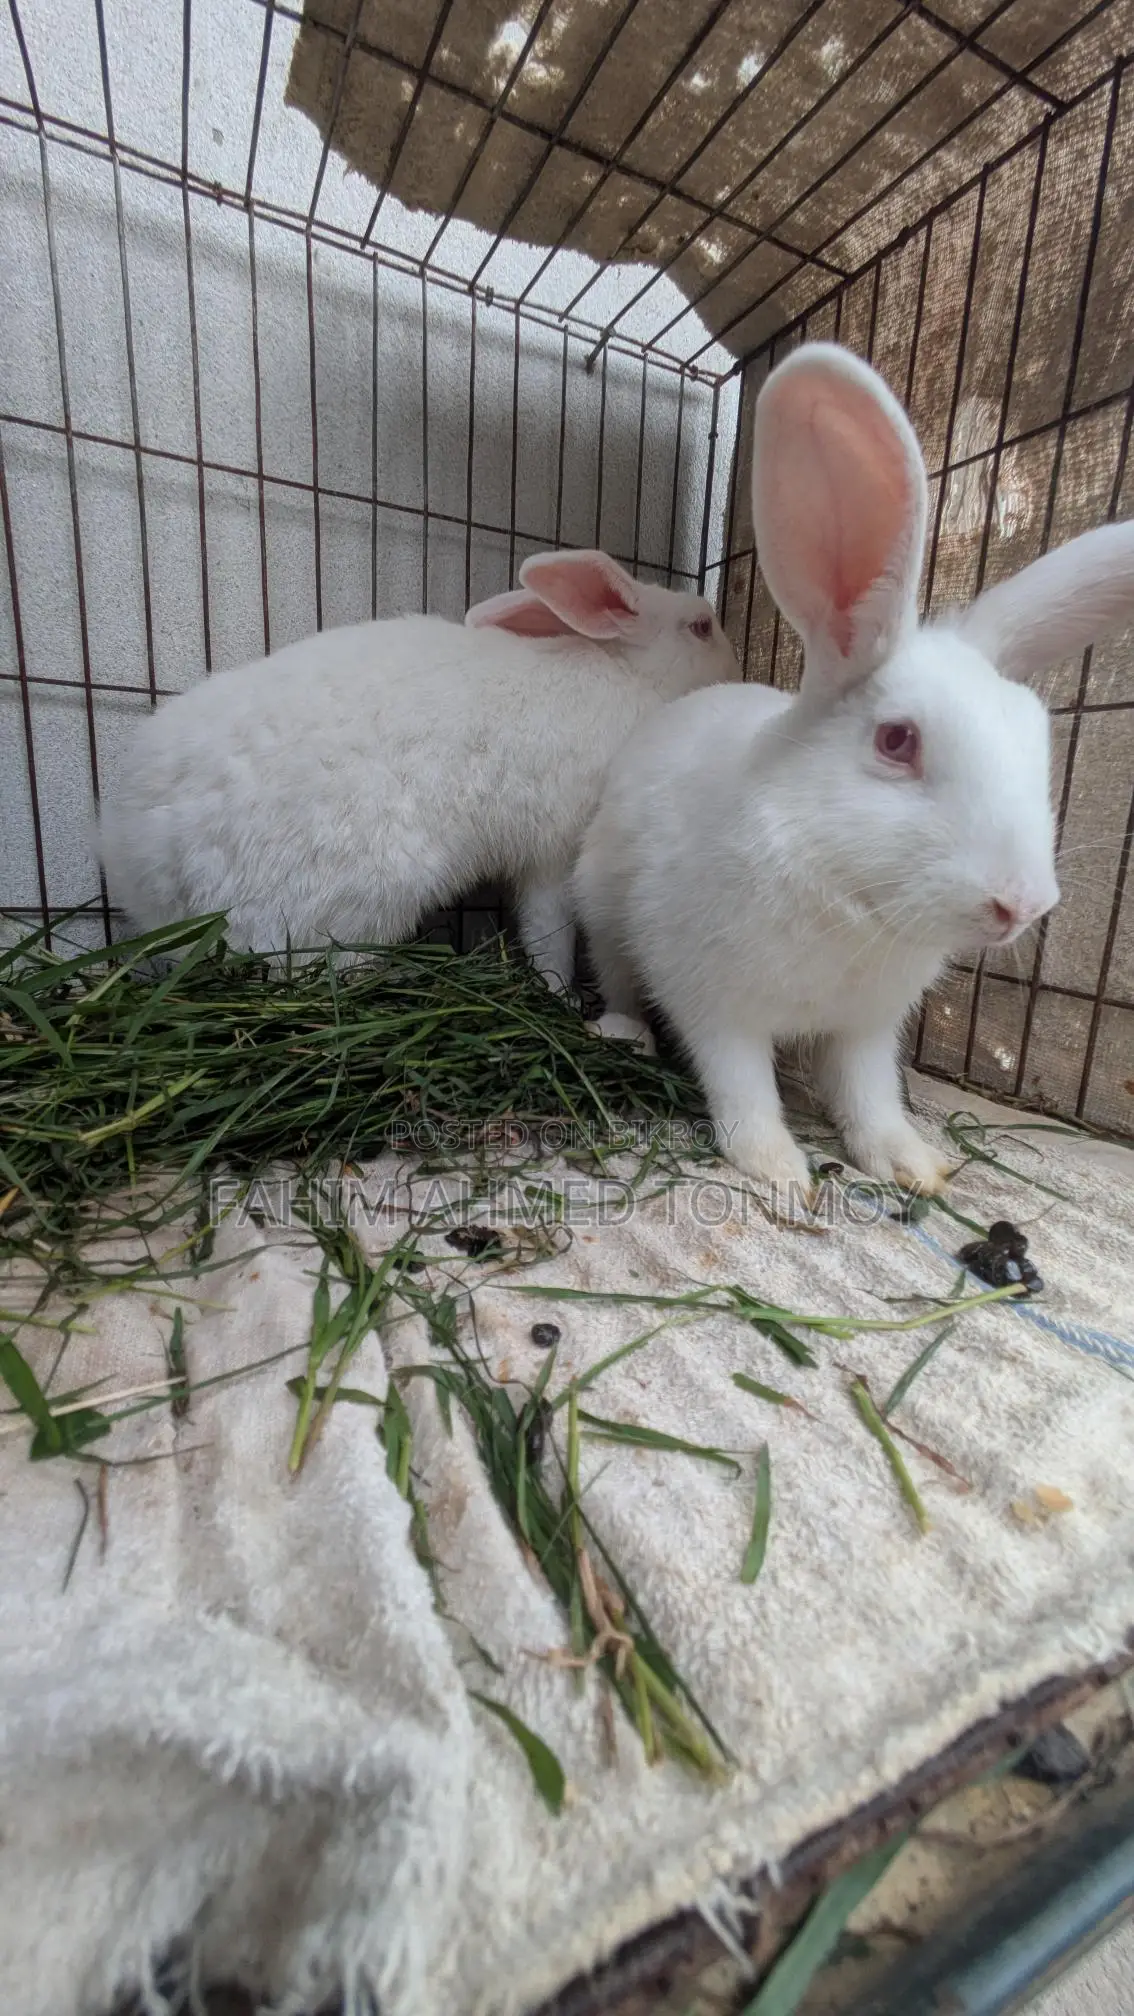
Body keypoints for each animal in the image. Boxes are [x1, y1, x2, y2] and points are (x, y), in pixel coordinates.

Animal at [97, 548, 738, 988]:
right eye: (702, 626)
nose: (737, 664)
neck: (630, 675)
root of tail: (145, 869)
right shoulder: (555, 853)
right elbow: (549, 932)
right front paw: (560, 994)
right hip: (351, 906)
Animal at [575, 341, 1134, 1199]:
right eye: (898, 740)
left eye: (1039, 736)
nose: (1025, 904)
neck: (854, 900)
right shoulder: (717, 1003)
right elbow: (741, 1086)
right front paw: (778, 1171)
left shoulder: (869, 1028)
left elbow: (869, 1096)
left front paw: (912, 1164)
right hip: (603, 910)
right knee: (618, 975)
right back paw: (625, 1031)